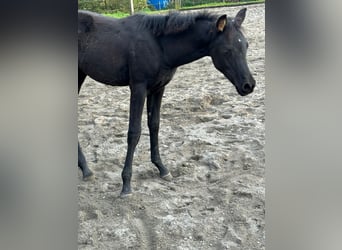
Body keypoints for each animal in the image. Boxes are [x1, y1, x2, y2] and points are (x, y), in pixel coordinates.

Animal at [77, 7, 254, 197]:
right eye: (227, 50)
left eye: (246, 45)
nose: (248, 85)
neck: (159, 46)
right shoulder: (138, 87)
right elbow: (134, 132)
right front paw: (126, 184)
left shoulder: (158, 88)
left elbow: (154, 125)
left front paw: (162, 168)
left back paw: (86, 169)